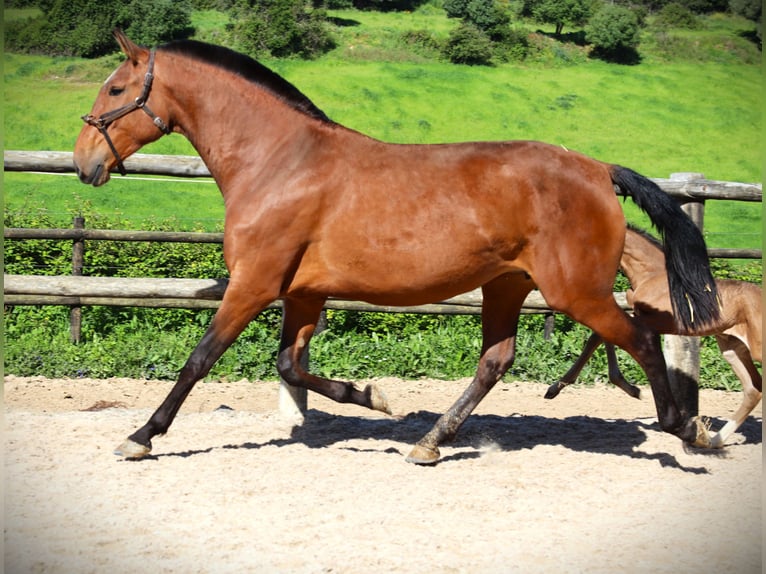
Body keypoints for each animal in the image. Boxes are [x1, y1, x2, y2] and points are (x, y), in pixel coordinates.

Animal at [75, 30, 724, 464]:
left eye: (116, 88)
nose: (84, 163)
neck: (280, 163)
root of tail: (597, 169)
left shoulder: (255, 284)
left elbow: (200, 359)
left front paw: (140, 437)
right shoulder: (303, 294)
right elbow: (290, 364)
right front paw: (375, 398)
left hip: (576, 292)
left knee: (642, 340)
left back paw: (685, 428)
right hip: (507, 285)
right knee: (496, 360)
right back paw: (429, 442)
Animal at [544, 227, 760, 448]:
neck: (652, 275)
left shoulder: (649, 321)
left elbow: (598, 337)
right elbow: (601, 337)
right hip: (732, 348)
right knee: (753, 389)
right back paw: (714, 439)